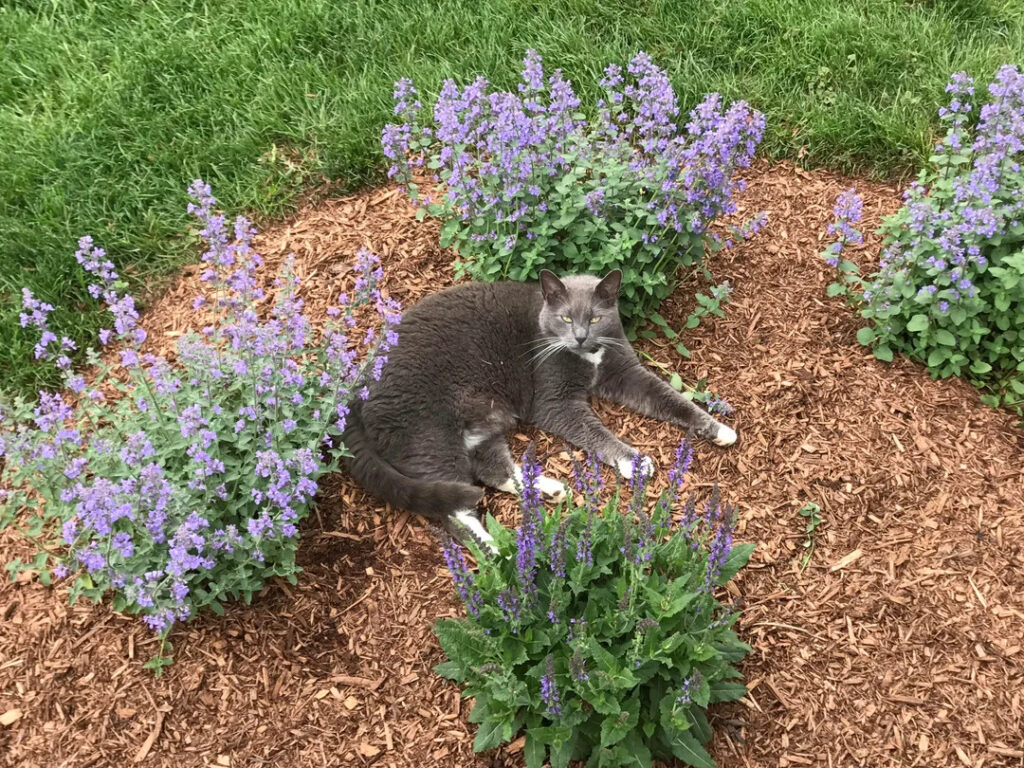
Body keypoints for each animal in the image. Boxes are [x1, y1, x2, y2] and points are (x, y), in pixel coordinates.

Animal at [344, 268, 737, 548]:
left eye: (595, 318)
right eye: (565, 318)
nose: (579, 336)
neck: (588, 354)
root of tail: (357, 391)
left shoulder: (626, 372)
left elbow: (670, 398)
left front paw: (718, 429)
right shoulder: (553, 400)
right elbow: (593, 431)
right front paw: (634, 461)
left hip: (481, 423)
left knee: (492, 471)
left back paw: (548, 488)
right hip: (429, 436)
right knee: (454, 510)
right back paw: (498, 552)